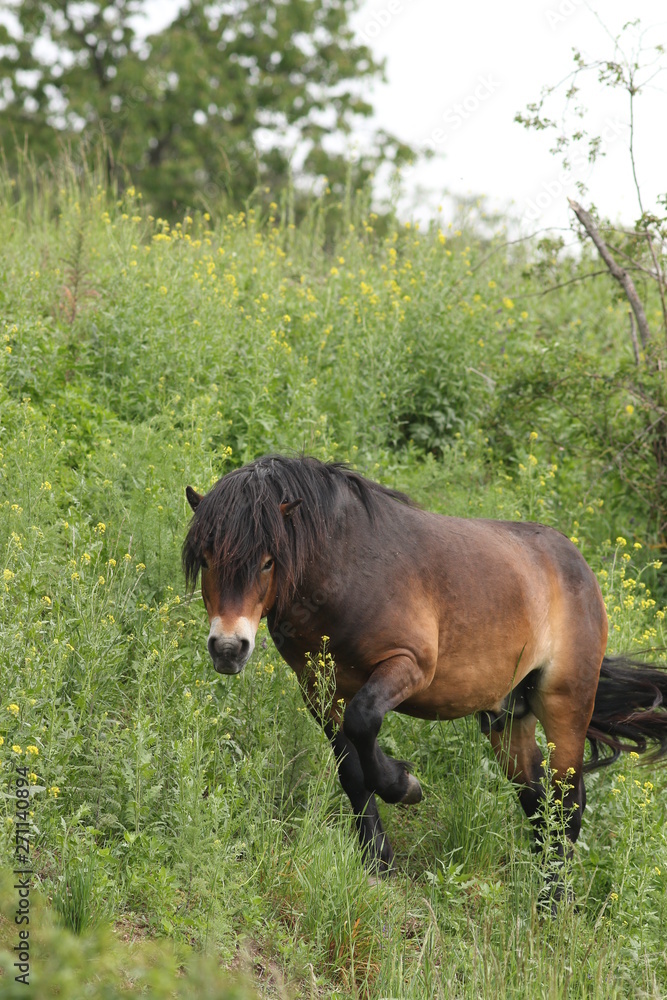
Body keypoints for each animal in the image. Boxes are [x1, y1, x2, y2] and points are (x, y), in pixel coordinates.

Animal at [182, 455, 667, 901]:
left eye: (268, 562)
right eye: (206, 559)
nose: (228, 648)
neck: (345, 566)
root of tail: (579, 567)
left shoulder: (408, 666)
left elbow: (364, 723)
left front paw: (404, 786)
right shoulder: (319, 689)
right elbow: (352, 770)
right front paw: (378, 858)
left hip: (565, 705)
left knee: (567, 802)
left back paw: (553, 903)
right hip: (509, 718)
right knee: (536, 799)